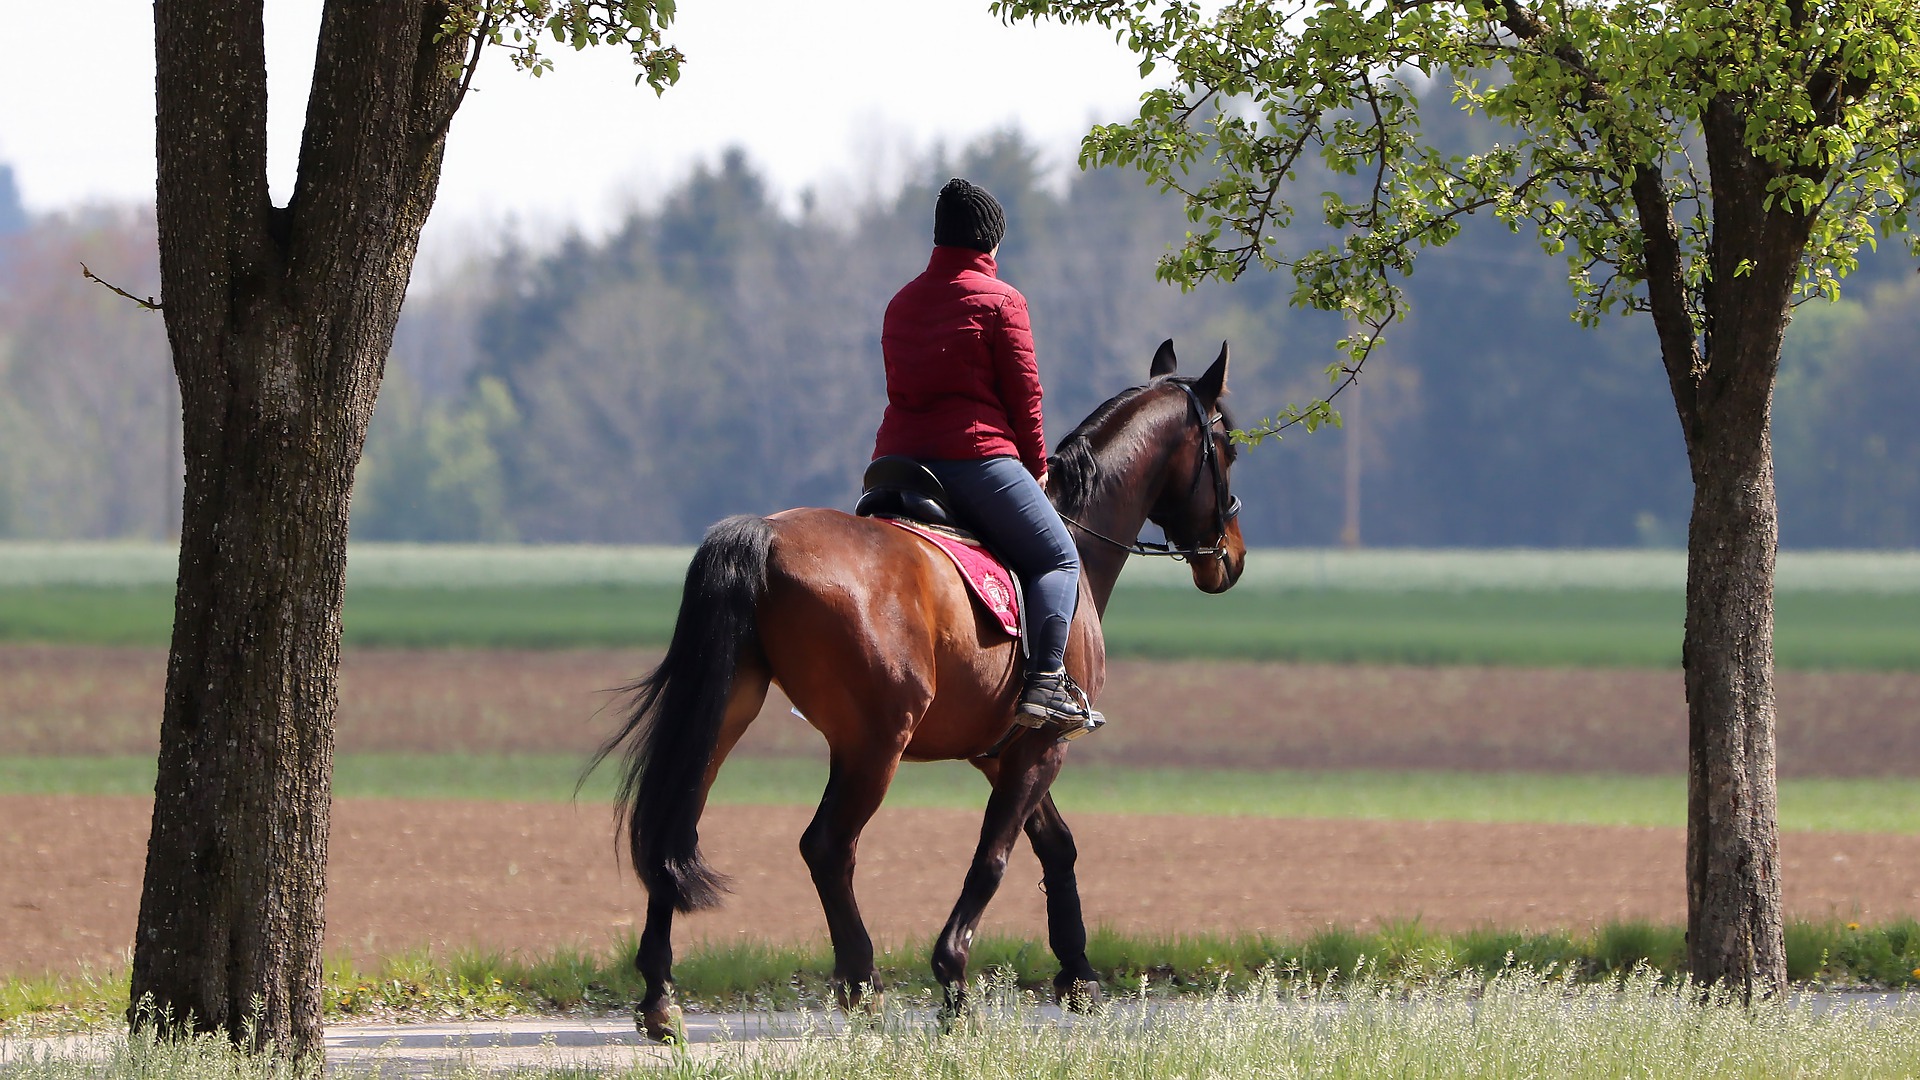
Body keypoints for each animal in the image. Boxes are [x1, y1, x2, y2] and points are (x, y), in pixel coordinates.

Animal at [599, 336, 1259, 1037]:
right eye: (1228, 447)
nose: (1233, 556)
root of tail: (765, 534)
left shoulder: (1005, 751)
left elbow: (1056, 847)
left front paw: (1078, 975)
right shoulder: (1043, 747)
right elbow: (993, 858)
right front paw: (954, 981)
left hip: (727, 718)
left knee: (675, 826)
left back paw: (661, 996)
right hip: (874, 745)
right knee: (827, 847)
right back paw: (861, 984)